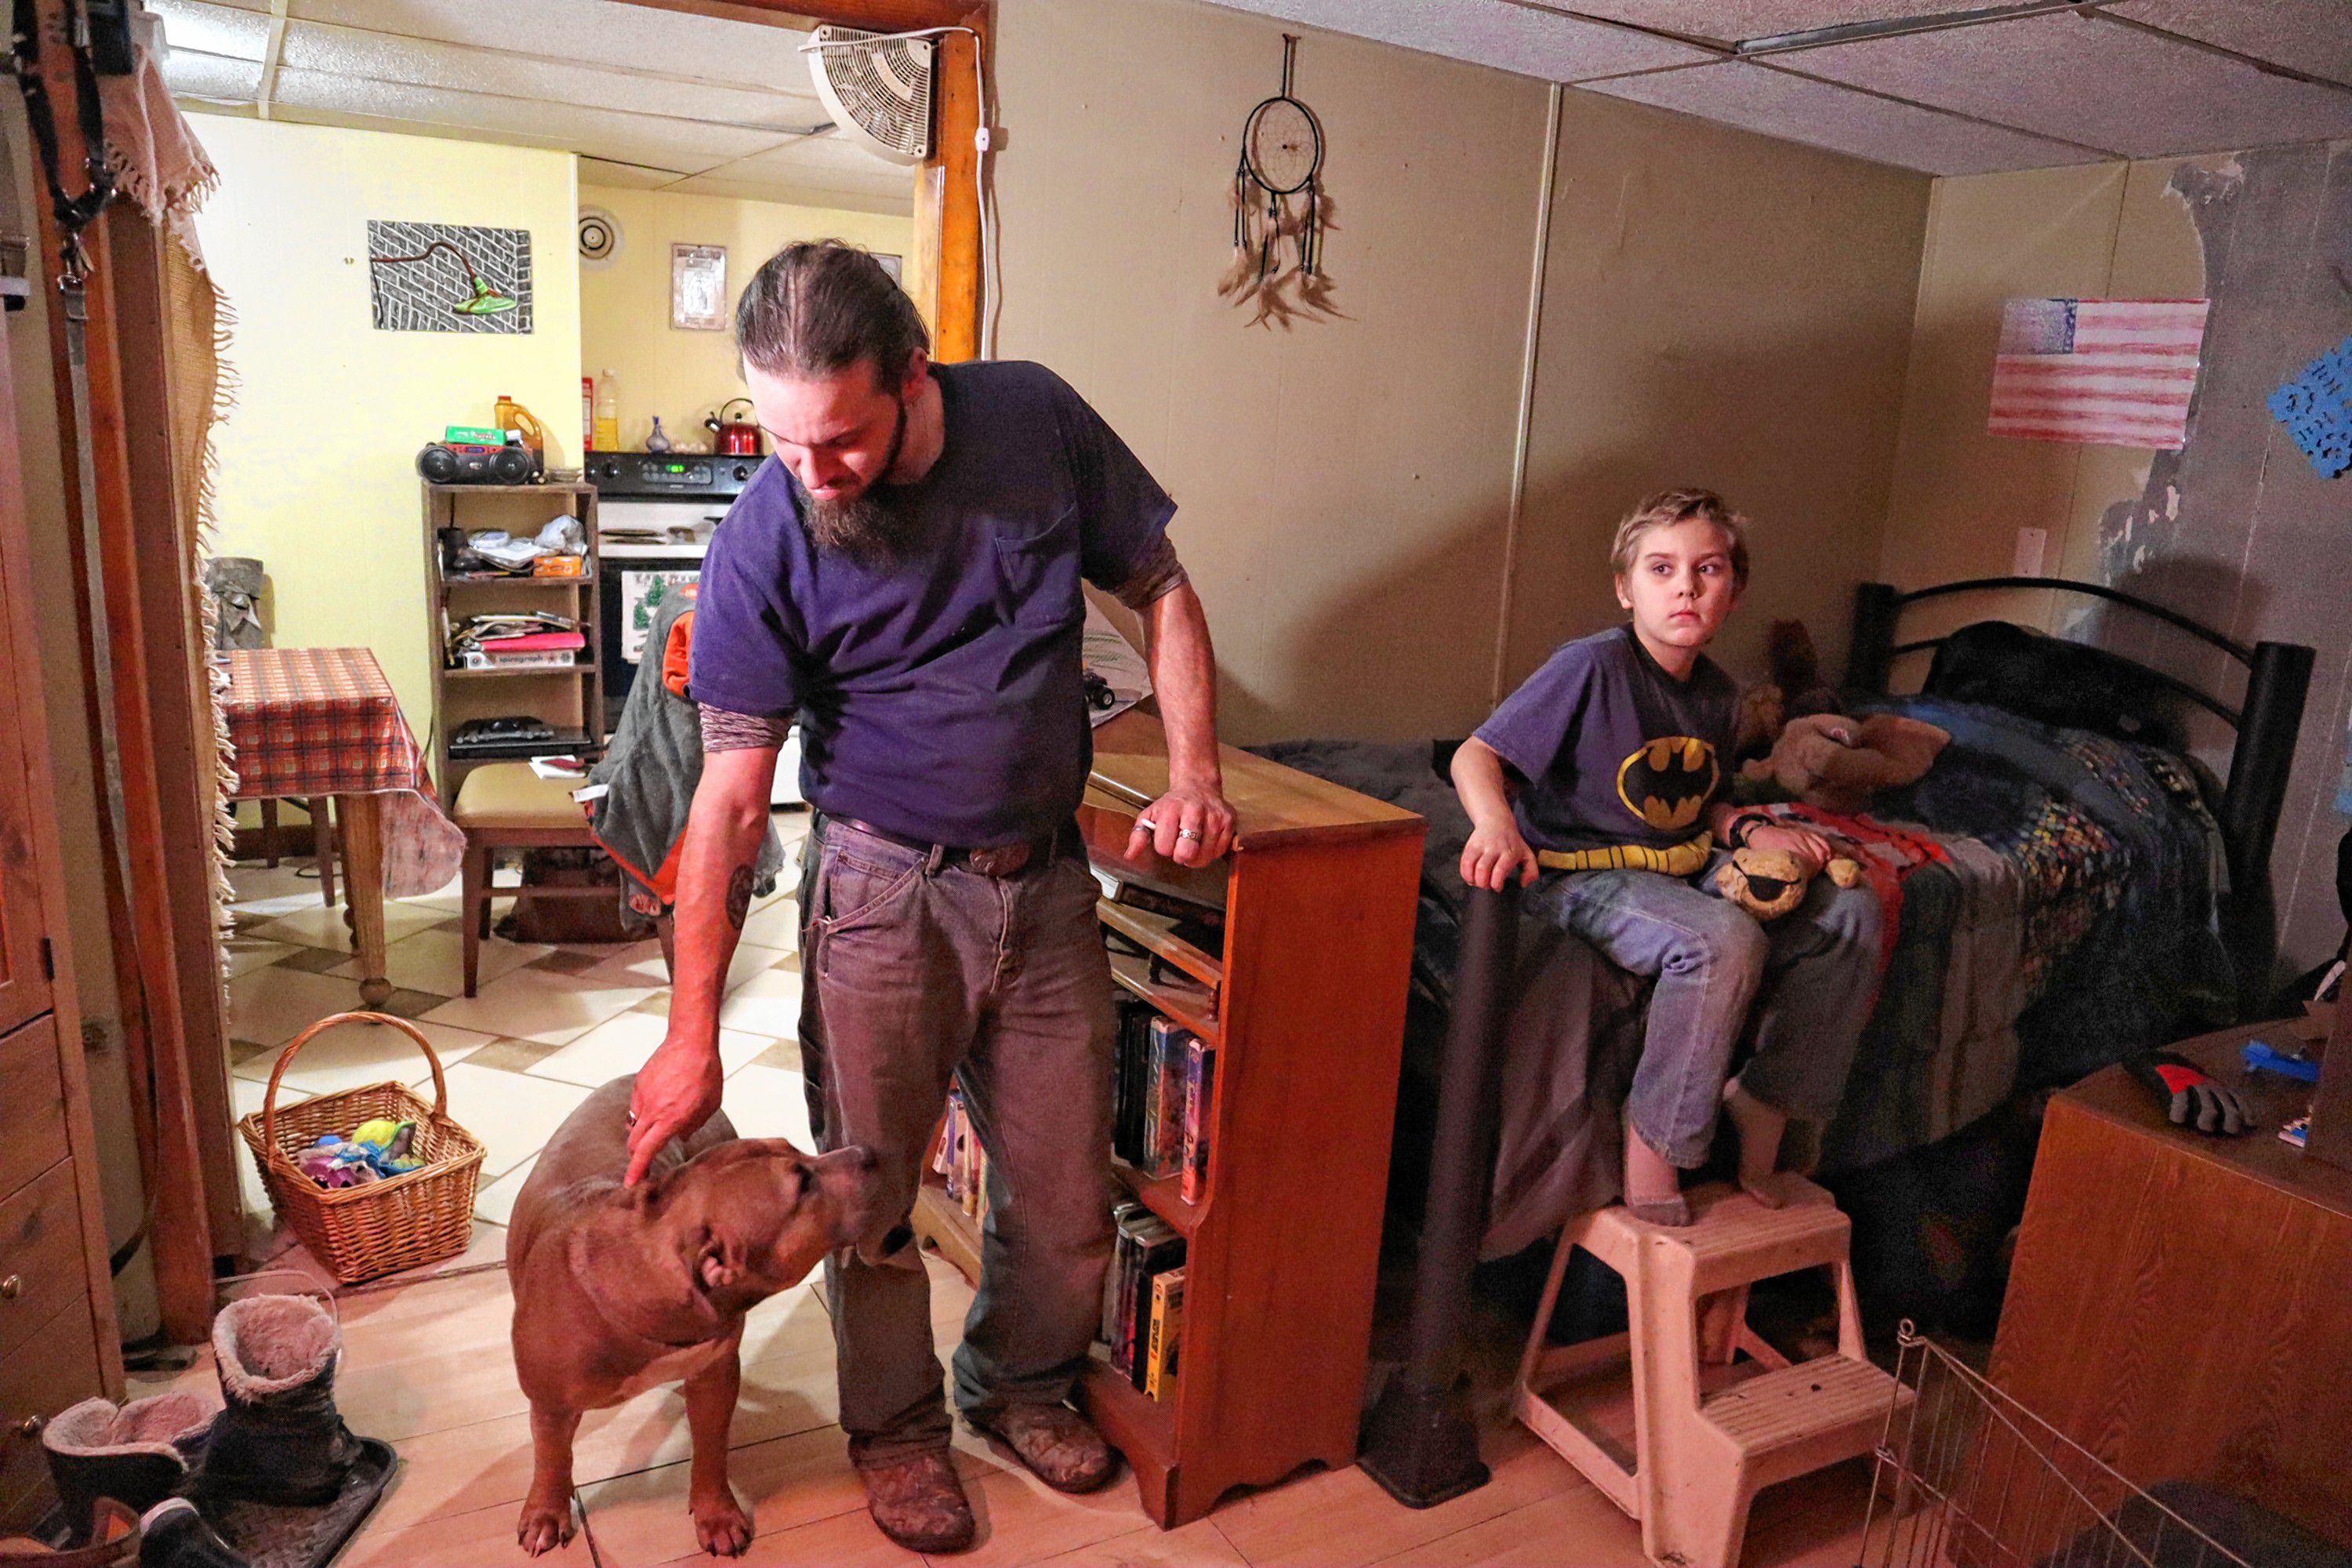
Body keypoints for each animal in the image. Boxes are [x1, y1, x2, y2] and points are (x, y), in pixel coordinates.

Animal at [510, 1081, 880, 1561]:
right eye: (802, 1184)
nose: (869, 1152)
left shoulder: (714, 1376)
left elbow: (710, 1449)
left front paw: (716, 1515)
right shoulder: (551, 1405)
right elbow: (552, 1459)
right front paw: (546, 1514)